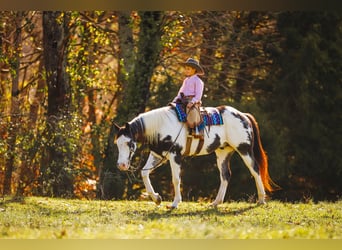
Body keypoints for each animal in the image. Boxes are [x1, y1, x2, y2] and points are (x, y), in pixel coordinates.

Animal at [113, 104, 276, 208]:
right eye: (117, 144)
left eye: (129, 143)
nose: (121, 165)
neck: (160, 127)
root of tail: (243, 115)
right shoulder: (158, 155)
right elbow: (144, 173)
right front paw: (156, 198)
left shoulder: (175, 155)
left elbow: (176, 179)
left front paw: (175, 203)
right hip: (223, 152)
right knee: (225, 175)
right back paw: (216, 202)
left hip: (244, 149)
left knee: (255, 170)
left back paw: (261, 200)